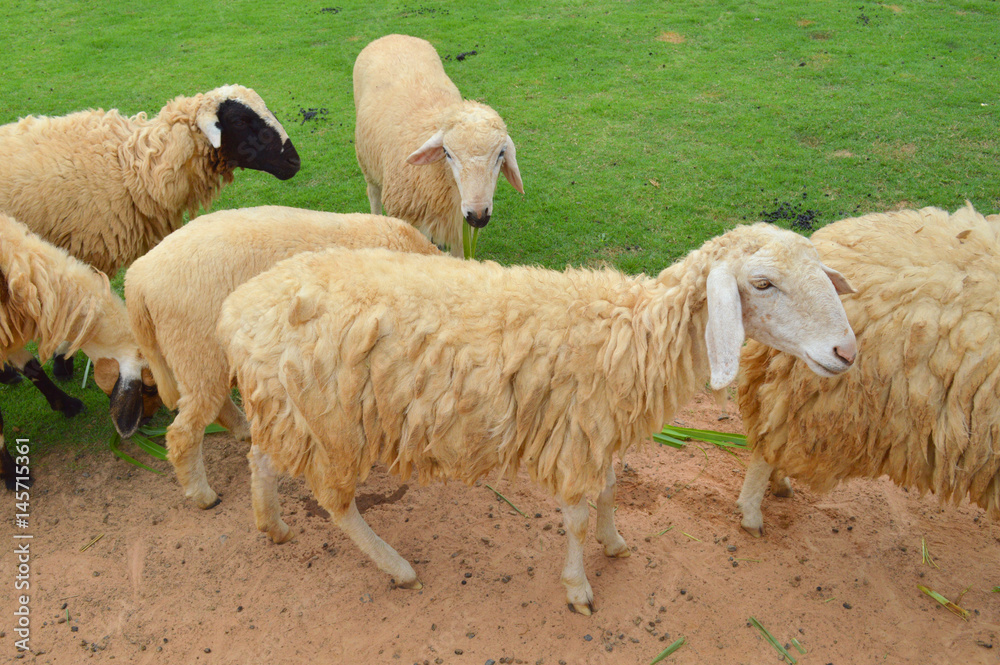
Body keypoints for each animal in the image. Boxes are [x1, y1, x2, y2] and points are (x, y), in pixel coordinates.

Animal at [0, 212, 160, 468]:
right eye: (149, 387)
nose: (148, 419)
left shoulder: (8, 330)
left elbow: (32, 367)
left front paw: (66, 404)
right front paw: (10, 471)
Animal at [123, 206, 441, 509]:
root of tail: (136, 277)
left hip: (202, 358)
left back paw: (243, 431)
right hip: (194, 348)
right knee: (183, 432)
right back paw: (204, 496)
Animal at [218, 223, 857, 614]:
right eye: (762, 283)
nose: (846, 352)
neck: (628, 333)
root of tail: (236, 310)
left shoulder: (597, 431)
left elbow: (610, 491)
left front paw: (615, 542)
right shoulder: (577, 436)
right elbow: (575, 518)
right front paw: (579, 588)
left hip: (287, 408)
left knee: (261, 459)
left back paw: (271, 524)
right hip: (331, 423)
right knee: (335, 502)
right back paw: (395, 566)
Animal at [353, 34, 524, 258]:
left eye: (501, 153)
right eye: (447, 153)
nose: (478, 216)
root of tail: (392, 36)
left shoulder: (459, 228)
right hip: (367, 159)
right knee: (373, 193)